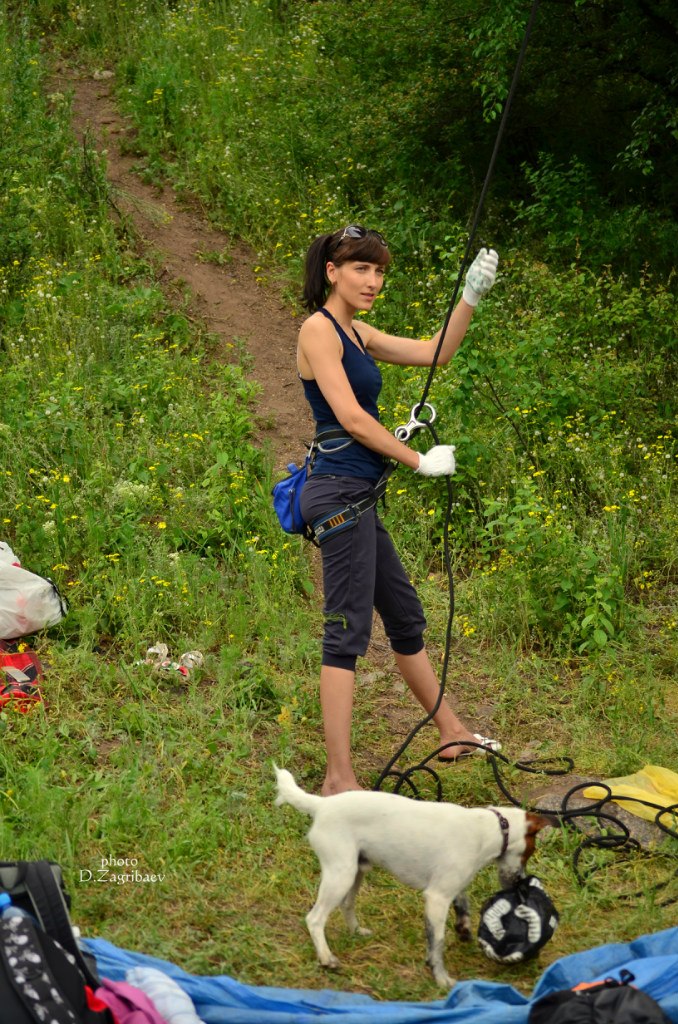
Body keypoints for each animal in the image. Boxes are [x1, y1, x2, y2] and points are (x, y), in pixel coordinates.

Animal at [276, 765, 553, 987]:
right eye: (529, 853)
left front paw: (463, 928)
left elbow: (463, 904)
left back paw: (356, 932)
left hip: (355, 871)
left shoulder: (452, 886)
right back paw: (326, 958)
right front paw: (440, 977)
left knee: (346, 904)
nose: (520, 882)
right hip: (340, 874)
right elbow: (437, 942)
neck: (490, 828)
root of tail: (322, 804)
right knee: (314, 919)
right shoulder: (437, 898)